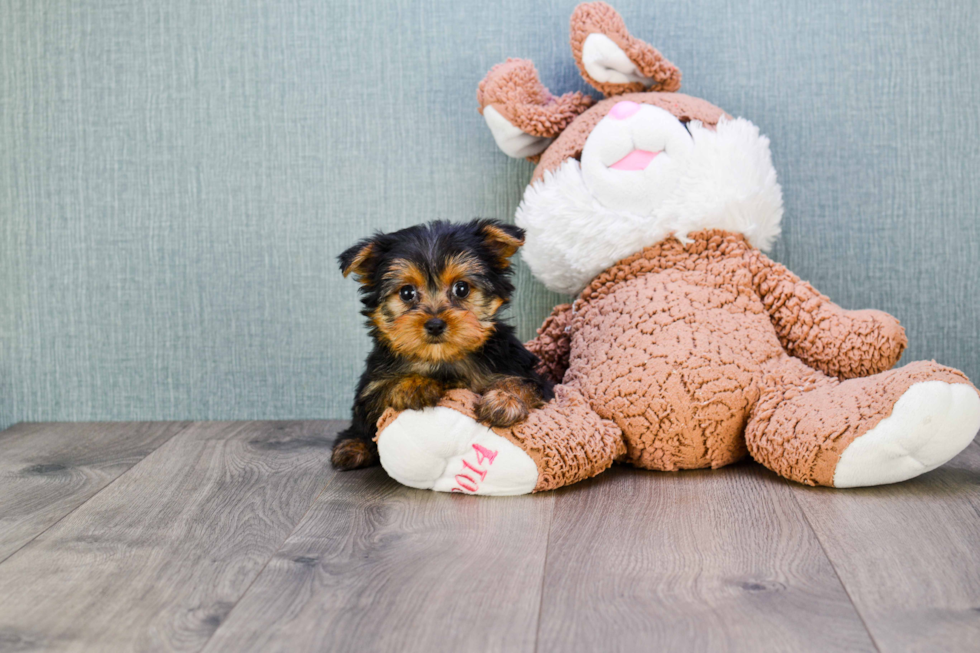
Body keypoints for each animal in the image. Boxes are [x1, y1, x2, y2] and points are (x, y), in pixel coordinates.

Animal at [334, 219, 556, 468]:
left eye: (462, 288)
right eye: (407, 292)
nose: (435, 324)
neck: (442, 359)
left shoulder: (523, 370)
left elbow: (526, 385)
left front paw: (505, 399)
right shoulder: (371, 384)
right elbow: (377, 395)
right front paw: (414, 385)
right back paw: (352, 445)